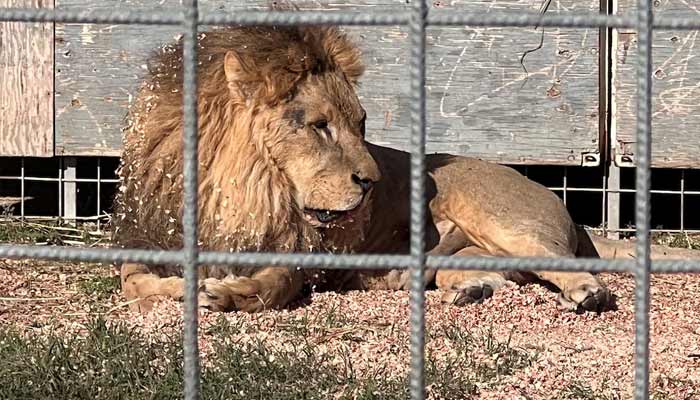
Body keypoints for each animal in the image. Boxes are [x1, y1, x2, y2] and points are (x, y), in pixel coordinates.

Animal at [113, 23, 614, 314]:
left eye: (361, 124)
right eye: (320, 126)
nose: (371, 182)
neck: (248, 188)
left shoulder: (305, 257)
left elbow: (275, 283)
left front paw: (229, 292)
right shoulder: (148, 236)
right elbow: (132, 282)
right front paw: (176, 287)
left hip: (500, 219)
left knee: (560, 262)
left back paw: (587, 292)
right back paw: (467, 288)